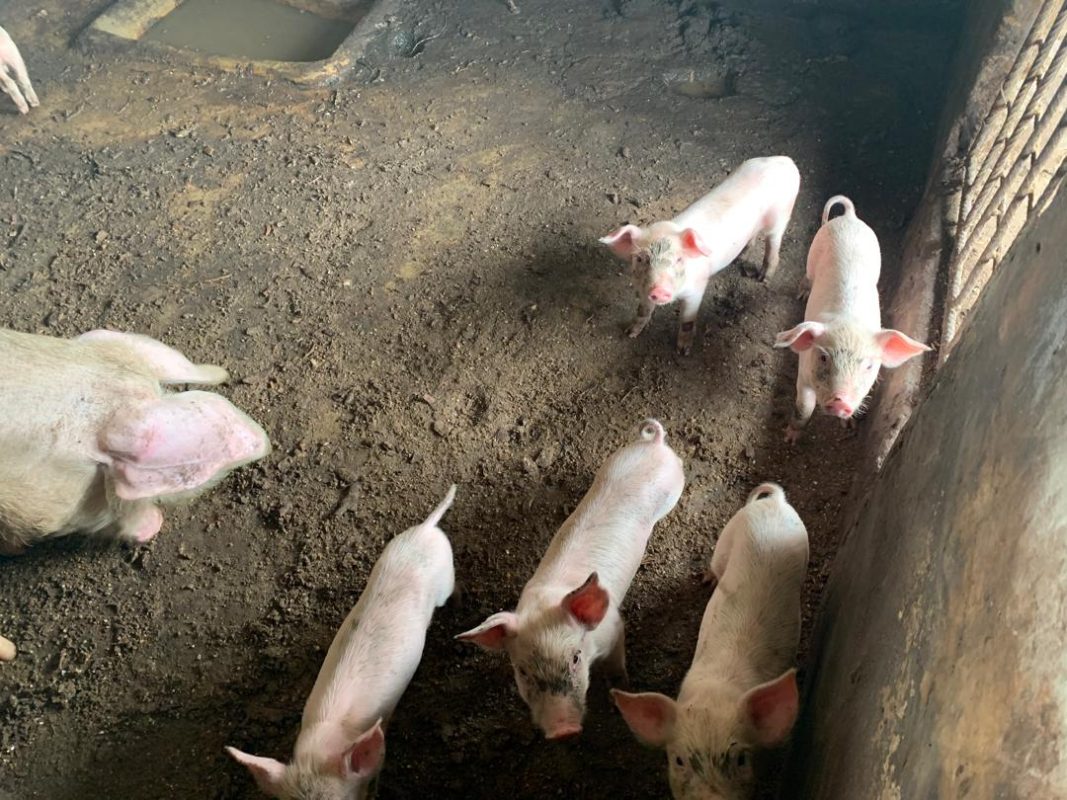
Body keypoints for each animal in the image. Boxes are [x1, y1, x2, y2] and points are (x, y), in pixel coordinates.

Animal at [456, 419, 685, 739]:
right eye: (522, 671)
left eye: (575, 658)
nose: (562, 729)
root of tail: (655, 443)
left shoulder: (615, 629)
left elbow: (616, 668)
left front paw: (618, 694)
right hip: (612, 461)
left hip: (675, 484)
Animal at [600, 156, 800, 355]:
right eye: (641, 259)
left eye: (679, 259)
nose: (659, 290)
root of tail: (785, 161)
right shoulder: (642, 287)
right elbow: (643, 311)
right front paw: (630, 333)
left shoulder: (697, 289)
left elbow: (687, 320)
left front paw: (683, 351)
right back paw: (740, 258)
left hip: (780, 219)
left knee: (773, 246)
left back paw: (763, 278)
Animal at [611, 482, 808, 800]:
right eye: (679, 760)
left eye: (741, 759)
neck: (714, 695)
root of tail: (775, 503)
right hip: (729, 534)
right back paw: (708, 580)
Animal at [774, 195, 930, 443]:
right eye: (824, 358)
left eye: (868, 366)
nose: (841, 402)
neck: (848, 322)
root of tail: (849, 216)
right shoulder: (804, 372)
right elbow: (804, 408)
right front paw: (789, 439)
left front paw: (849, 427)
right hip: (813, 253)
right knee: (807, 275)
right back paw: (802, 294)